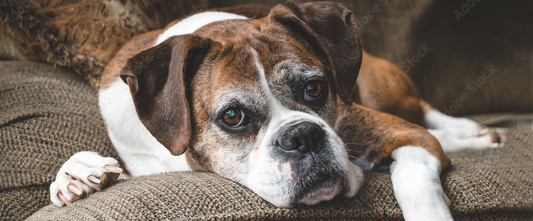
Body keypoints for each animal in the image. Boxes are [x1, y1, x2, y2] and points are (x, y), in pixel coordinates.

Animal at [50, 1, 502, 219]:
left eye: (314, 88)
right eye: (232, 116)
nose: (302, 135)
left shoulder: (405, 135)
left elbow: (414, 178)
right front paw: (77, 176)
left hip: (385, 91)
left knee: (423, 110)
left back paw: (470, 132)